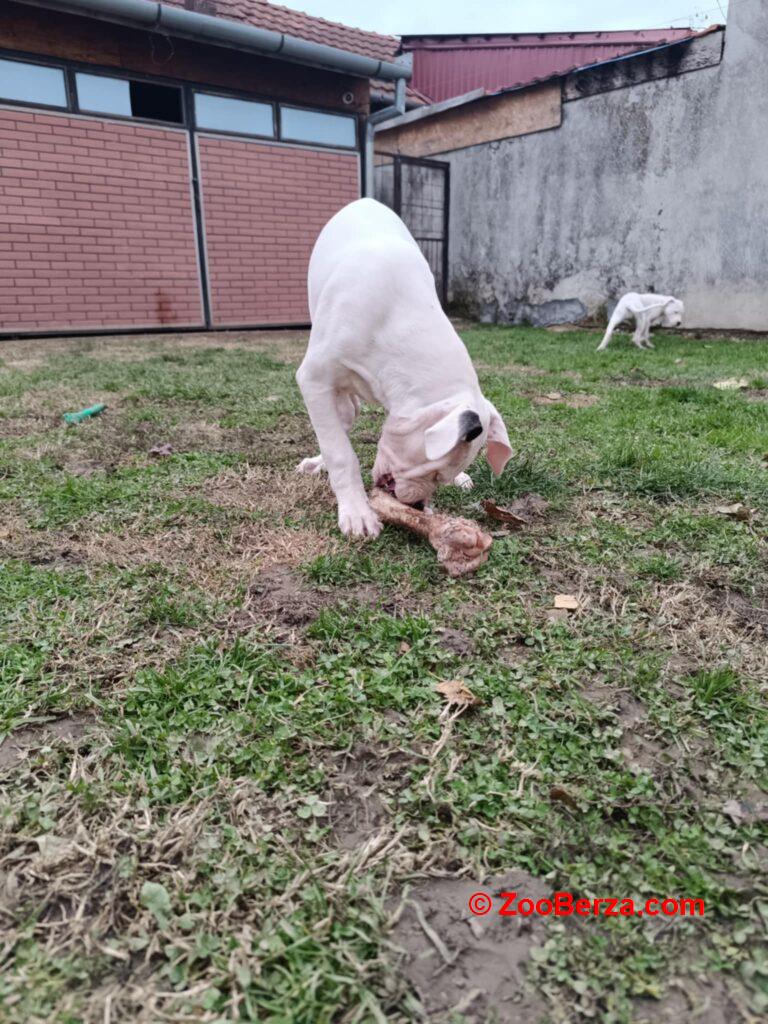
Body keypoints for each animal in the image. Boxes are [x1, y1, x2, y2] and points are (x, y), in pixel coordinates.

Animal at [296, 195, 514, 540]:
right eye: (435, 473)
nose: (417, 507)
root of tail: (365, 200)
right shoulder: (314, 379)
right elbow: (340, 452)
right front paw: (357, 513)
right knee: (339, 421)